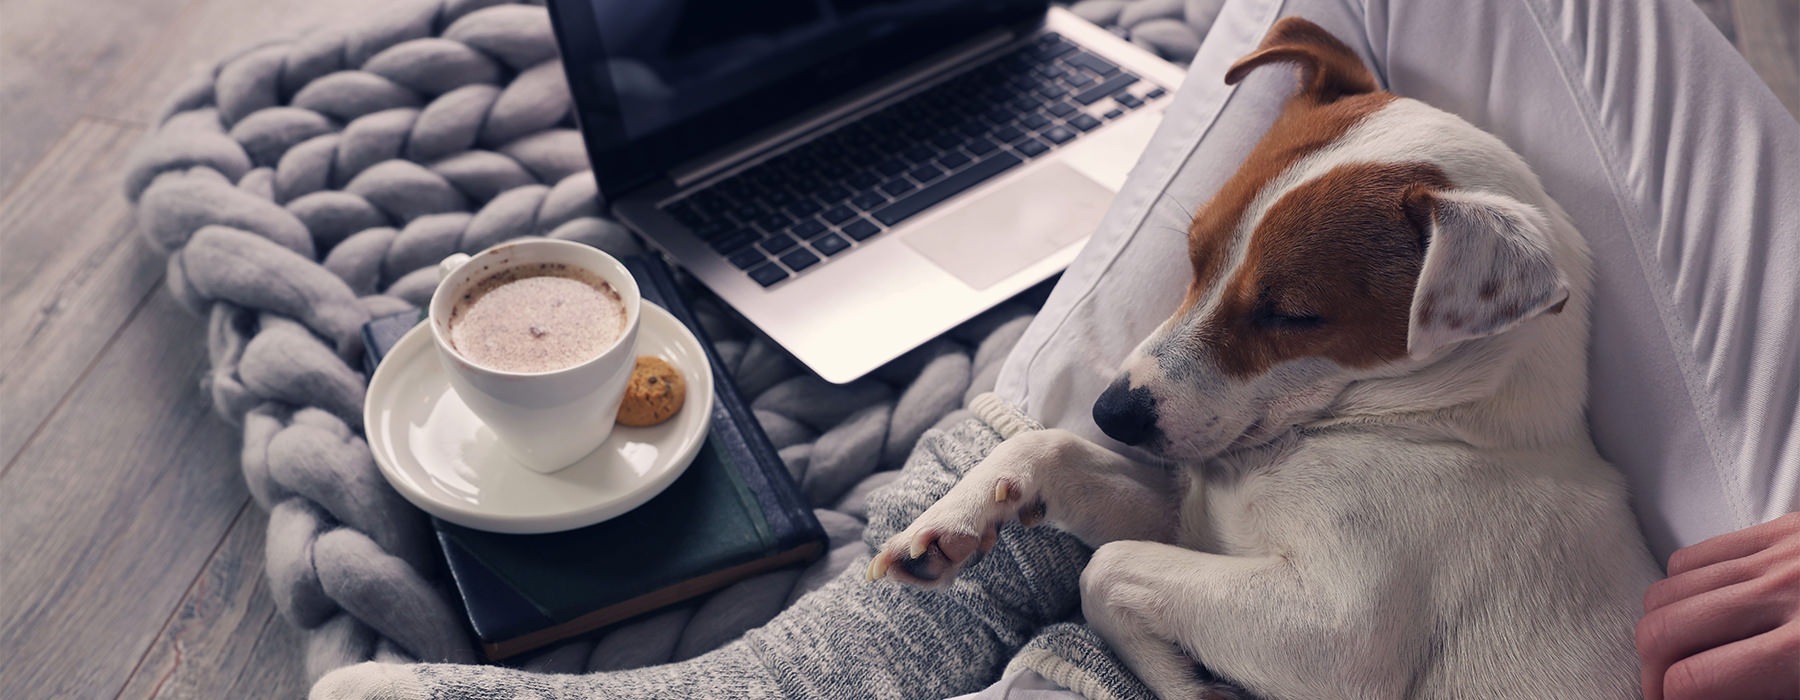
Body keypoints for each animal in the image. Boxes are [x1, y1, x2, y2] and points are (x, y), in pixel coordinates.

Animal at [864, 16, 1663, 698]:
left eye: (1294, 314)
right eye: (1194, 254)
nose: (1112, 412)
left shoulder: (1336, 630)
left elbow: (1106, 569)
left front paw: (1179, 679)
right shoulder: (1192, 525)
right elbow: (1050, 451)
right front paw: (956, 519)